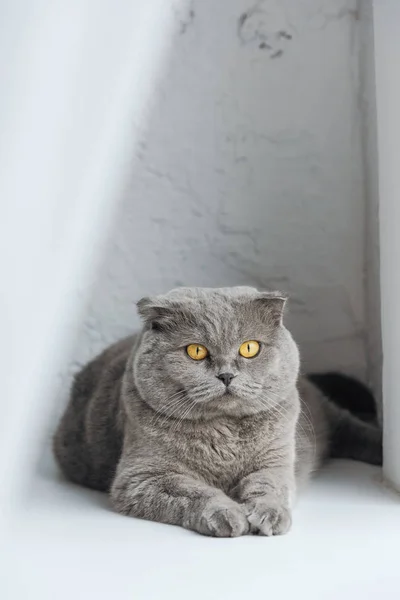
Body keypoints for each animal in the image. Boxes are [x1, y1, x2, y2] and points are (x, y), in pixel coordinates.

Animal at [53, 288, 382, 540]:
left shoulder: (276, 459)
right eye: (196, 351)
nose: (226, 375)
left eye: (249, 348)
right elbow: (194, 492)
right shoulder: (141, 477)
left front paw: (269, 514)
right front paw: (227, 515)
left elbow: (269, 485)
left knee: (352, 429)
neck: (224, 434)